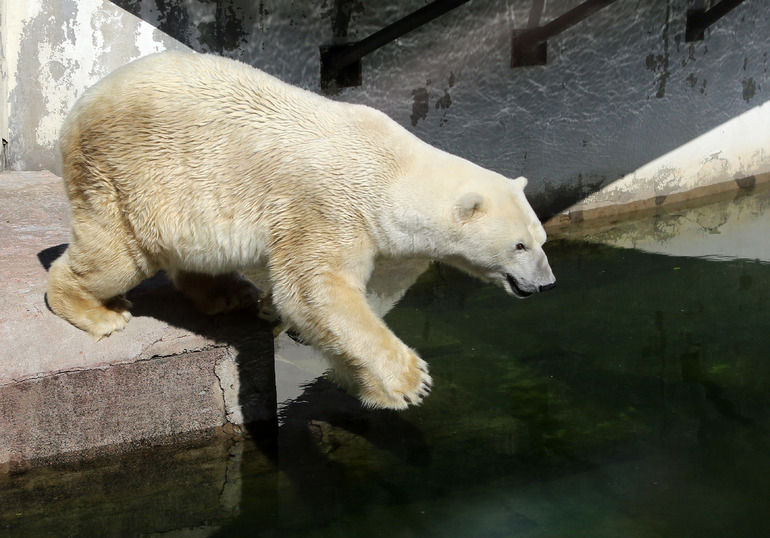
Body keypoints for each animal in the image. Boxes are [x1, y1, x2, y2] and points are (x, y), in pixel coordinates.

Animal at [46, 52, 552, 408]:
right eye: (519, 245)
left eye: (541, 241)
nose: (546, 283)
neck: (391, 171)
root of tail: (76, 109)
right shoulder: (331, 207)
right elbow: (317, 290)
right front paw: (412, 381)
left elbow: (331, 308)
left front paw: (368, 386)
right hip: (126, 174)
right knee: (116, 254)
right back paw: (99, 312)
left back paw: (229, 294)